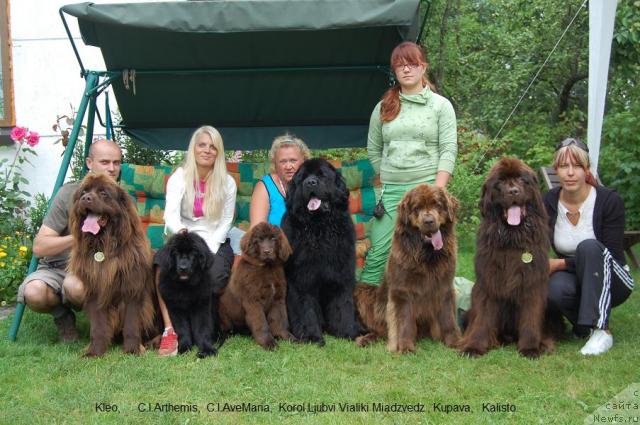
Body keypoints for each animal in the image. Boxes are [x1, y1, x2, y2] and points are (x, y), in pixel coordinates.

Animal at [68, 171, 159, 354]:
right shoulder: (95, 288)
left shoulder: (133, 288)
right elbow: (98, 326)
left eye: (103, 193)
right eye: (83, 192)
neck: (104, 246)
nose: (86, 198)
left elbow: (132, 324)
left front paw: (132, 350)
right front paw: (95, 351)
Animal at [280, 157, 360, 342]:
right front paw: (311, 335)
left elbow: (342, 303)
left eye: (322, 175)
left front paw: (346, 331)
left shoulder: (342, 274)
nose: (310, 182)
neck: (319, 227)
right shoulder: (301, 278)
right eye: (302, 178)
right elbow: (305, 307)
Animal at [356, 184, 460, 352]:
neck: (426, 255)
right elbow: (404, 321)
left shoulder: (445, 287)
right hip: (363, 293)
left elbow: (448, 318)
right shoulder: (402, 290)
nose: (429, 221)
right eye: (417, 207)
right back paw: (366, 339)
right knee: (381, 330)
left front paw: (455, 342)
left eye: (437, 205)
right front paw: (405, 347)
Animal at [460, 157, 556, 356]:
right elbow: (482, 318)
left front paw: (530, 348)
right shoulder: (487, 282)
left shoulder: (532, 284)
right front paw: (474, 346)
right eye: (500, 182)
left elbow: (530, 317)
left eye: (521, 180)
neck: (512, 237)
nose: (513, 191)